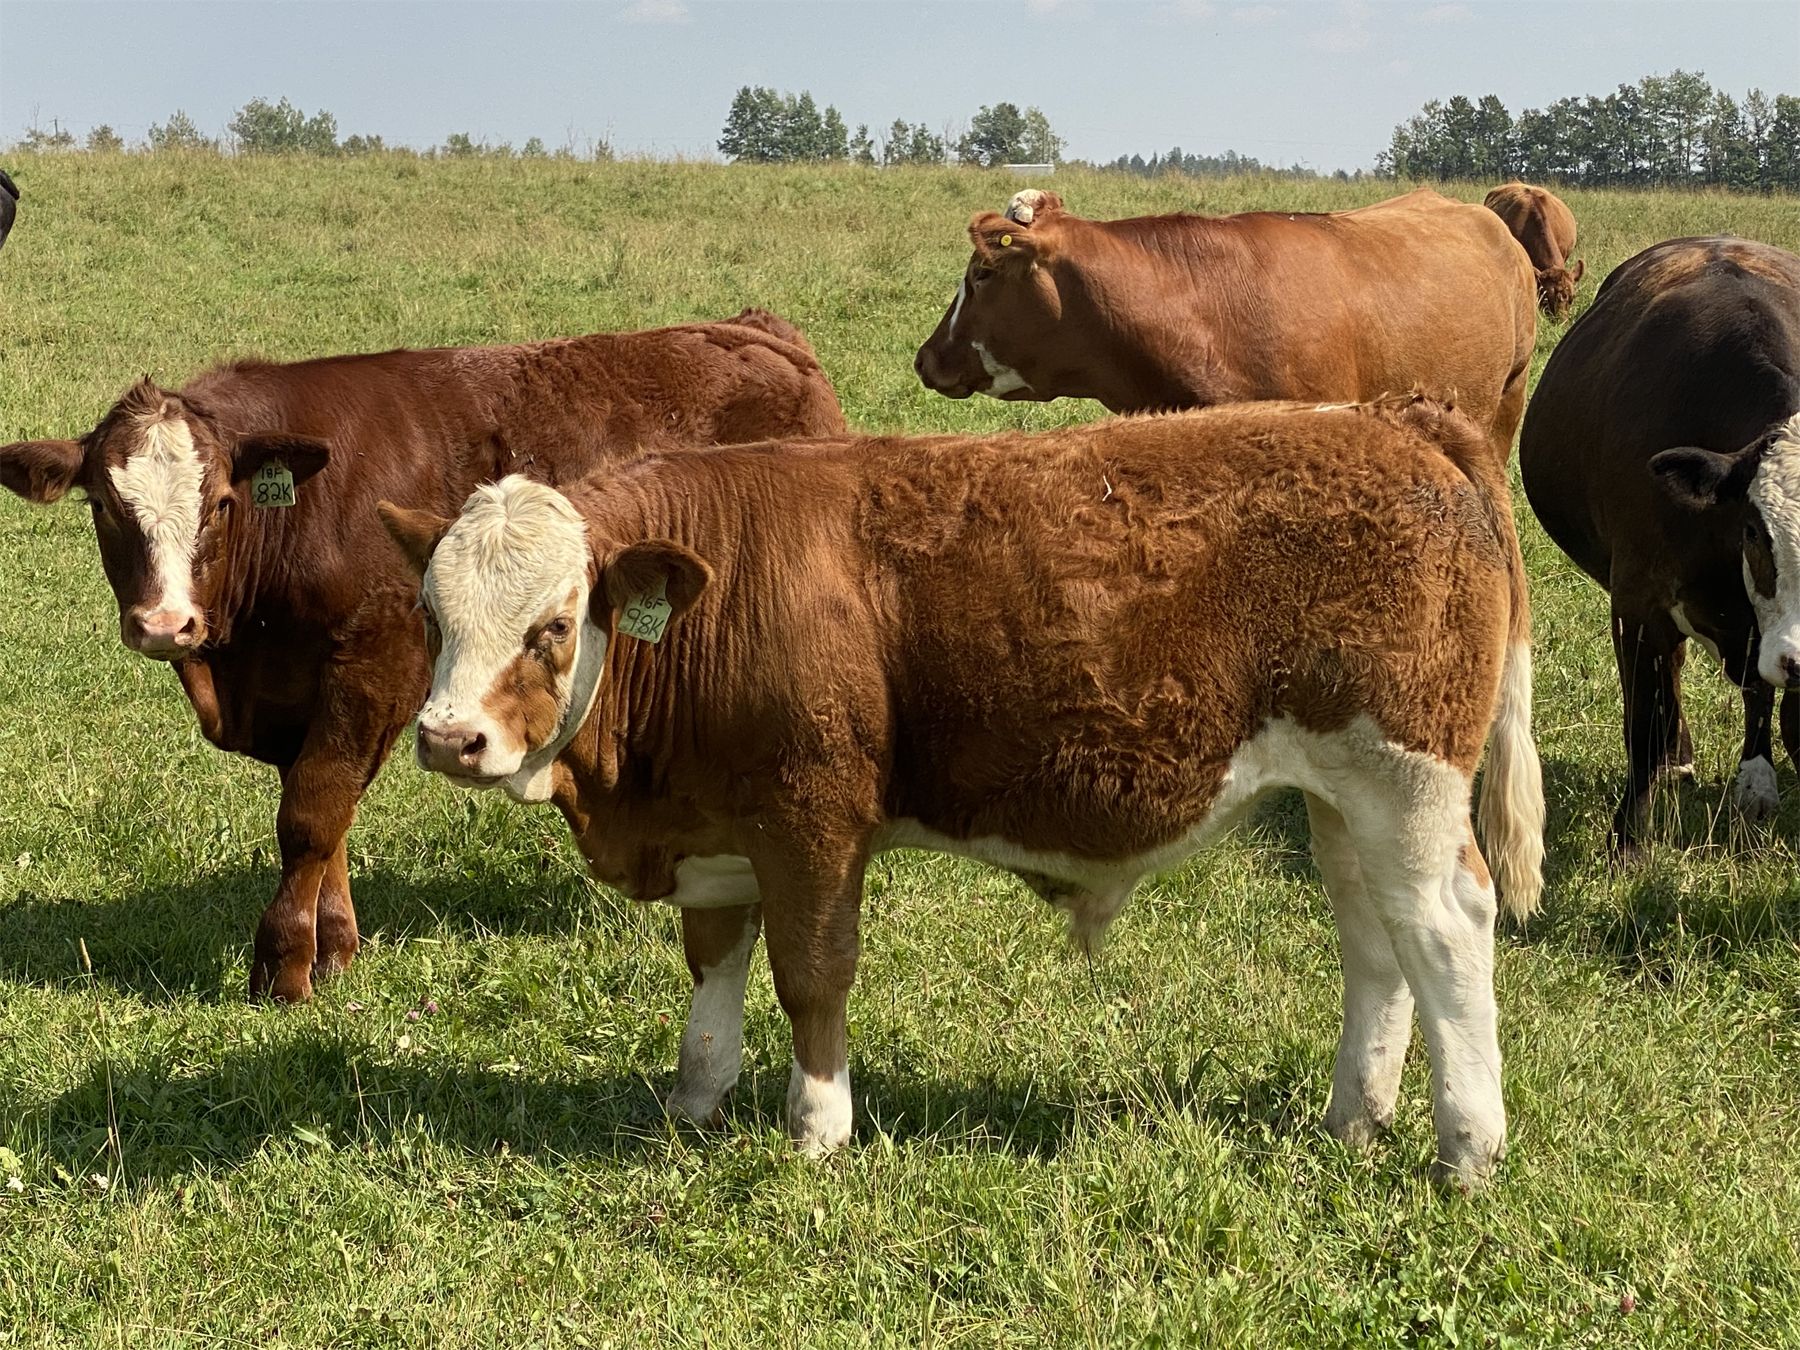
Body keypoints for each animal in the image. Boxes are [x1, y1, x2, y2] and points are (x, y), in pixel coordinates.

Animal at [0, 311, 845, 1002]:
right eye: (103, 505)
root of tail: (757, 331)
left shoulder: (372, 666)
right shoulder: (298, 694)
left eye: (221, 504)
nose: (164, 622)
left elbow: (310, 814)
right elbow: (329, 818)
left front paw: (283, 966)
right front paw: (333, 947)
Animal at [380, 395, 1546, 1187]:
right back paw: (1356, 1115)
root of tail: (1398, 421)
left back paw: (1467, 1147)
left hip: (1407, 782)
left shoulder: (812, 821)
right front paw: (695, 1100)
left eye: (553, 626)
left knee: (1447, 930)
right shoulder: (719, 827)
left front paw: (817, 1128)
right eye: (432, 615)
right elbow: (714, 965)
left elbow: (811, 974)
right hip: (1344, 797)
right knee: (1374, 942)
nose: (448, 738)